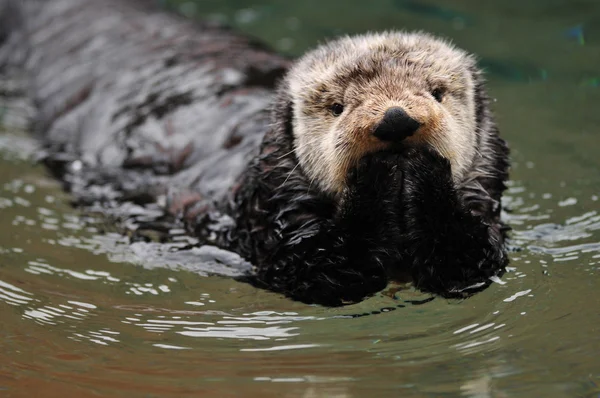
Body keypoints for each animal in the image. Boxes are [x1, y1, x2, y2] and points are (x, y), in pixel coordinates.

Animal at [0, 0, 508, 306]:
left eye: (437, 92)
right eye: (337, 106)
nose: (396, 120)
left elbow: (472, 260)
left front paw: (422, 171)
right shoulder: (269, 232)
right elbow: (321, 272)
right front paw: (378, 174)